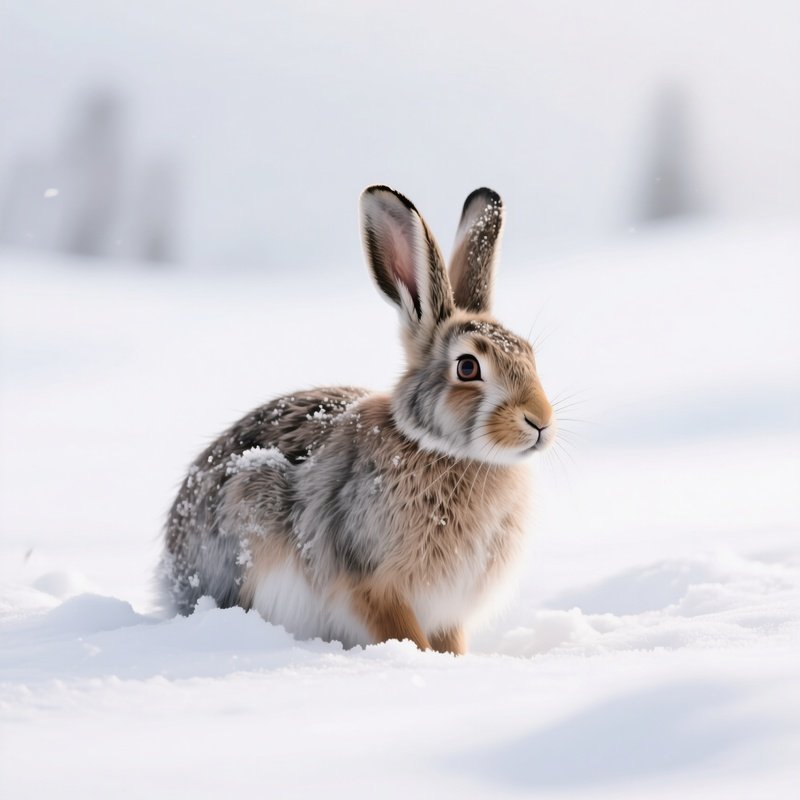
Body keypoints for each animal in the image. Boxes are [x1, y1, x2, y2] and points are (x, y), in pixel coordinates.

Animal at [158, 185, 555, 654]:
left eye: (529, 355)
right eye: (468, 367)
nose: (540, 422)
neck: (442, 451)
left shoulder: (448, 610)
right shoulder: (371, 581)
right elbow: (401, 631)